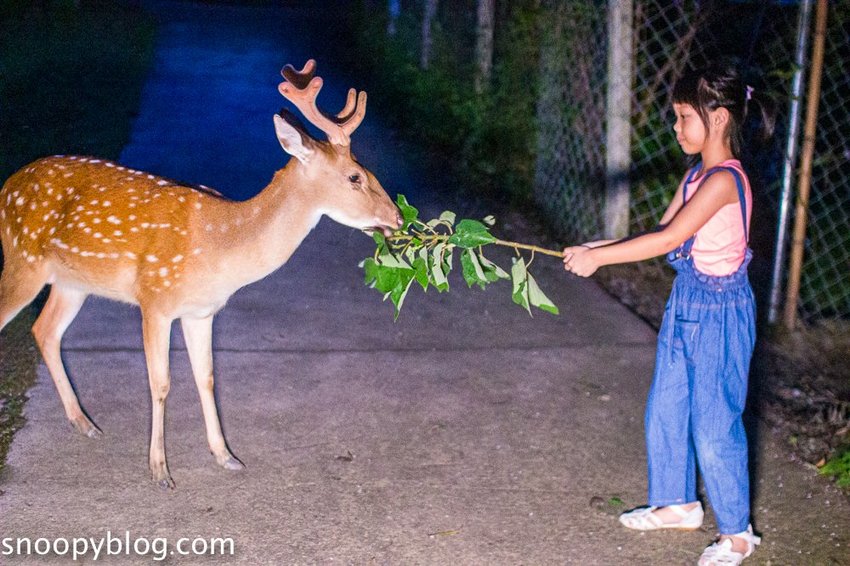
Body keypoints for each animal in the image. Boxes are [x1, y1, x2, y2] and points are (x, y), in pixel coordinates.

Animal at [0, 60, 402, 489]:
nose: (397, 218)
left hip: (72, 282)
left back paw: (84, 422)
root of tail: (8, 184)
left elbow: (207, 377)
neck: (218, 246)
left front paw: (226, 456)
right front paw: (160, 470)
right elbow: (160, 382)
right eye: (355, 177)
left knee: (45, 330)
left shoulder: (201, 311)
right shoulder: (155, 299)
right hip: (22, 260)